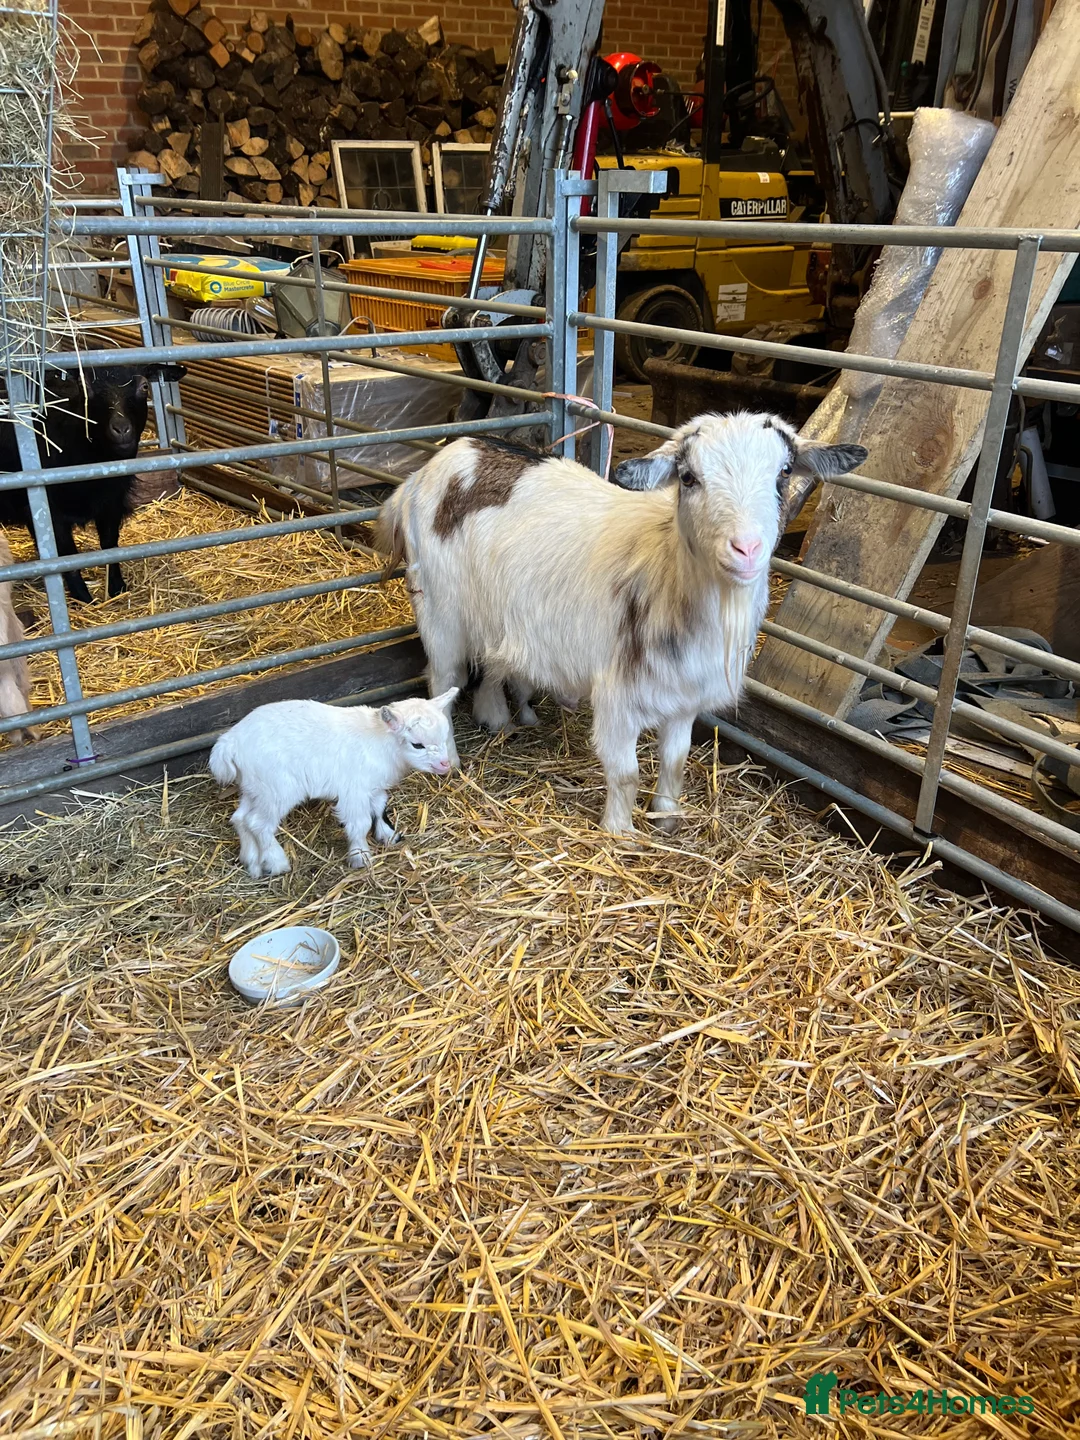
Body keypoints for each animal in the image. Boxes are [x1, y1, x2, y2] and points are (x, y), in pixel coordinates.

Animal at [0, 364, 185, 605]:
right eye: (84, 387)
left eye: (145, 386)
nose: (121, 429)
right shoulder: (47, 512)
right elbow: (66, 556)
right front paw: (83, 597)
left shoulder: (112, 502)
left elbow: (109, 544)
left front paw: (116, 587)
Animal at [209, 690, 459, 878]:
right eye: (417, 745)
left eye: (444, 736)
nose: (445, 764)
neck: (381, 741)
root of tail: (229, 743)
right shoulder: (354, 790)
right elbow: (360, 823)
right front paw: (360, 856)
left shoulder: (373, 786)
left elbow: (379, 808)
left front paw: (388, 835)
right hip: (277, 789)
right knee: (258, 823)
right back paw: (277, 862)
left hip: (254, 788)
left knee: (240, 818)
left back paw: (252, 862)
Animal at [377, 414, 866, 835]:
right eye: (688, 477)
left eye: (784, 472)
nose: (746, 548)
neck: (666, 573)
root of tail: (435, 465)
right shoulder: (618, 696)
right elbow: (626, 772)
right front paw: (621, 832)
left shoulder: (684, 696)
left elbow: (675, 760)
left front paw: (666, 819)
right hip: (439, 610)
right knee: (444, 677)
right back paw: (451, 758)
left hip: (501, 614)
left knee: (495, 664)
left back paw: (500, 717)